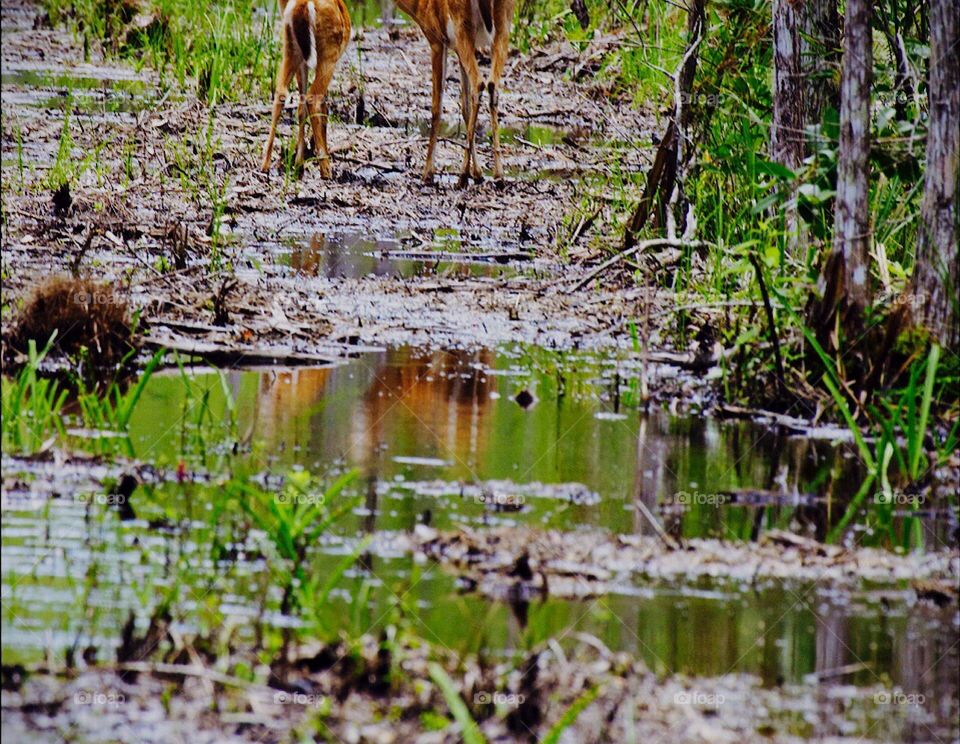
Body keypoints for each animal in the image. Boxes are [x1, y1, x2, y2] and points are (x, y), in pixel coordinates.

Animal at [261, 0, 351, 177]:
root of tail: (303, 4)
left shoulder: (303, 62)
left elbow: (301, 108)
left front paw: (298, 161)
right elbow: (322, 108)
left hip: (290, 47)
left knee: (281, 92)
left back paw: (266, 164)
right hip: (328, 53)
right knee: (313, 97)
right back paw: (326, 169)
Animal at [391, 0, 516, 187]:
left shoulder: (436, 39)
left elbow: (436, 107)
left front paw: (427, 174)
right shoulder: (455, 48)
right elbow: (465, 107)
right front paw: (478, 173)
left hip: (462, 25)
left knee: (479, 83)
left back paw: (462, 176)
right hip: (503, 25)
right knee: (492, 85)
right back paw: (498, 175)